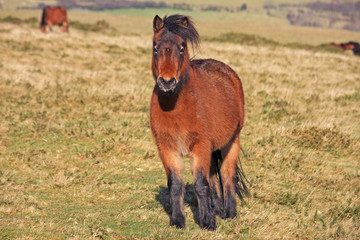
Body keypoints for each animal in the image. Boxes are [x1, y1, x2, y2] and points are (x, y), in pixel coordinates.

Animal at [150, 14, 249, 231]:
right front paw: (178, 220)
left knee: (227, 176)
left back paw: (229, 213)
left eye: (182, 47)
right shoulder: (167, 148)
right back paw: (218, 209)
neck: (178, 107)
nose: (167, 82)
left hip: (231, 142)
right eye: (155, 46)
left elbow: (200, 185)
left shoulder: (200, 146)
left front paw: (207, 222)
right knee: (214, 178)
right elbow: (176, 185)